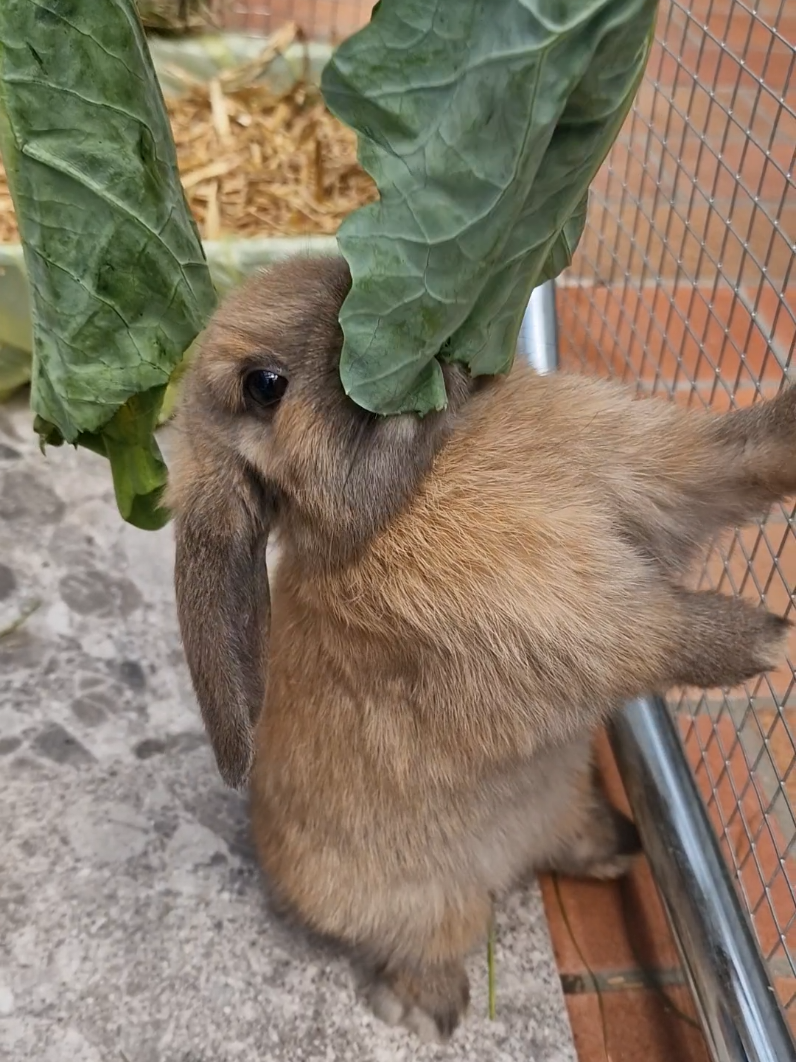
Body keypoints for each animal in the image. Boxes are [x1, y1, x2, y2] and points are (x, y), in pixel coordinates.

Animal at [167, 254, 795, 1042]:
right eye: (264, 385)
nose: (362, 289)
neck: (433, 461)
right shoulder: (561, 625)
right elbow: (655, 636)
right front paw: (766, 641)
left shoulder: (659, 474)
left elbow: (734, 459)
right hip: (426, 905)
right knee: (428, 943)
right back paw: (426, 1010)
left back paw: (616, 844)